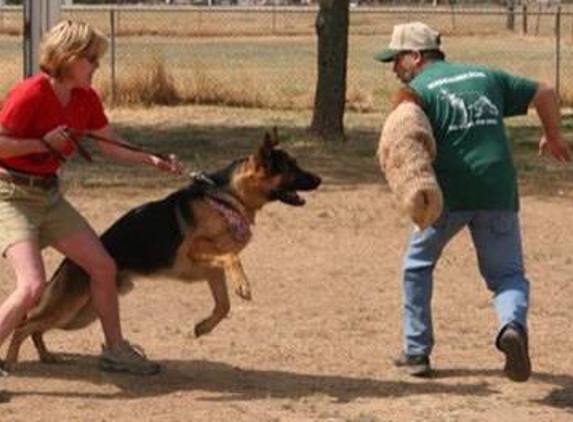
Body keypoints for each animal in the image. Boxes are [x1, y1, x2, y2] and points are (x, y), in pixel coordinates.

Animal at [2, 128, 320, 370]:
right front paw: (243, 284)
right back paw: (12, 362)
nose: (319, 179)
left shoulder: (211, 271)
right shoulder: (197, 251)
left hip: (79, 314)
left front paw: (204, 327)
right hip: (68, 308)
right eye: (291, 167)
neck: (228, 197)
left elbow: (223, 304)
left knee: (35, 327)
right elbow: (232, 258)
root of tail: (65, 265)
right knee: (25, 325)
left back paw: (45, 355)